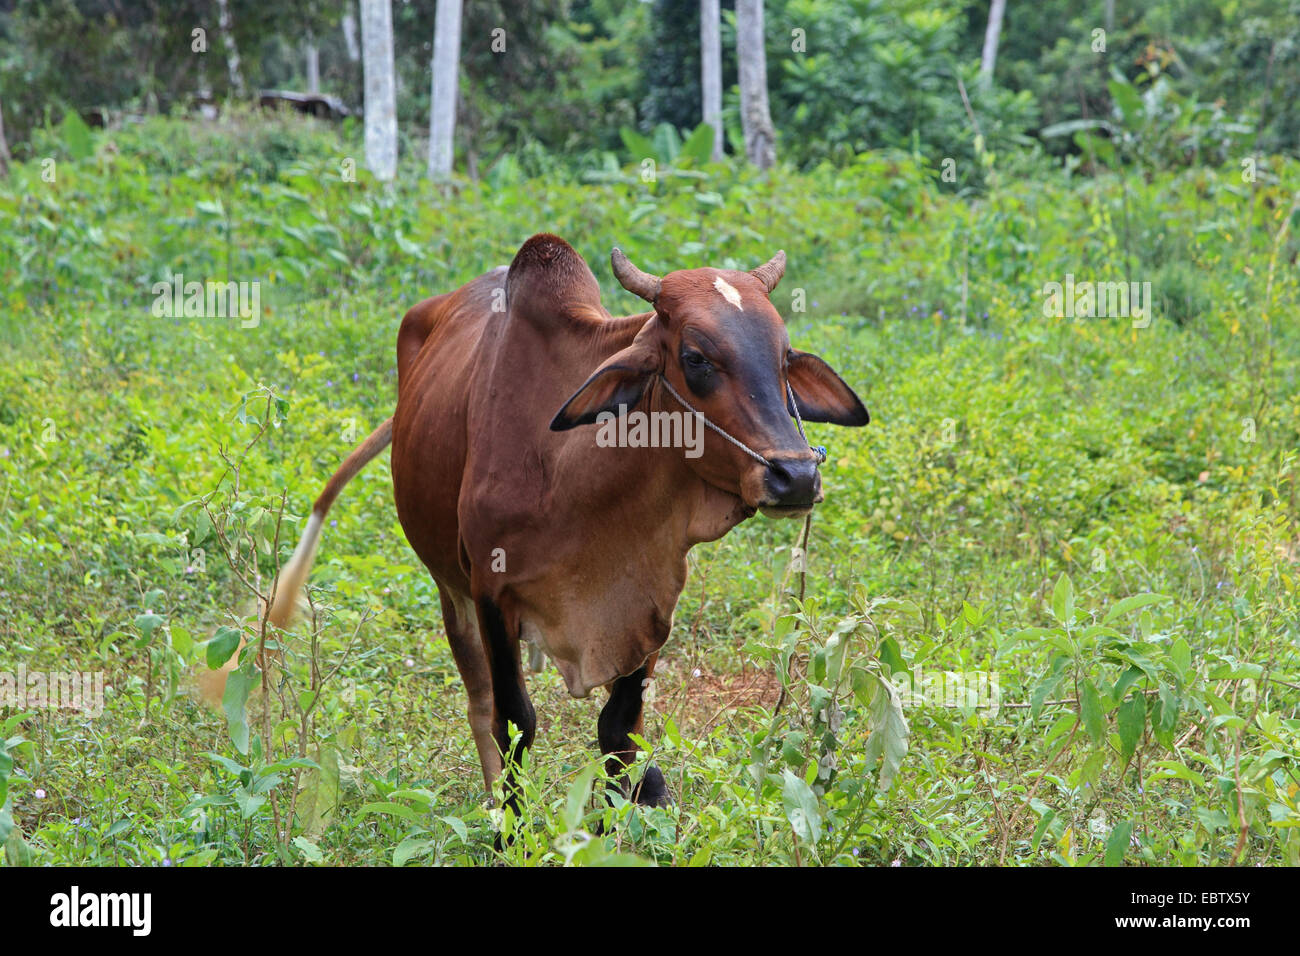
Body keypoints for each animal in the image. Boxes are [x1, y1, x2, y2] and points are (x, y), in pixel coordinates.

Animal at [258, 234, 868, 816]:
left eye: (784, 356)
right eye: (695, 357)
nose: (795, 475)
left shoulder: (652, 599)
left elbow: (620, 728)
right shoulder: (491, 591)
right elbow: (514, 719)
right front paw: (513, 830)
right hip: (450, 587)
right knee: (478, 700)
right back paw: (491, 804)